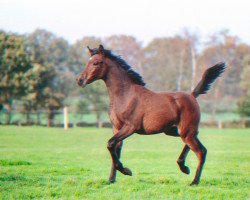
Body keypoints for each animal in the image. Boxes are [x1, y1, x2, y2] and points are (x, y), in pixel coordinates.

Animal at [75, 44, 226, 185]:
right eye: (87, 62)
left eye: (96, 63)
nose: (80, 80)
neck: (125, 95)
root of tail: (192, 95)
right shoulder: (117, 128)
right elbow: (114, 149)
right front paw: (111, 180)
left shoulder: (130, 127)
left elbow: (110, 143)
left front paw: (126, 171)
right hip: (175, 131)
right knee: (199, 146)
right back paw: (184, 167)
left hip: (186, 131)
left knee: (201, 152)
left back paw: (193, 180)